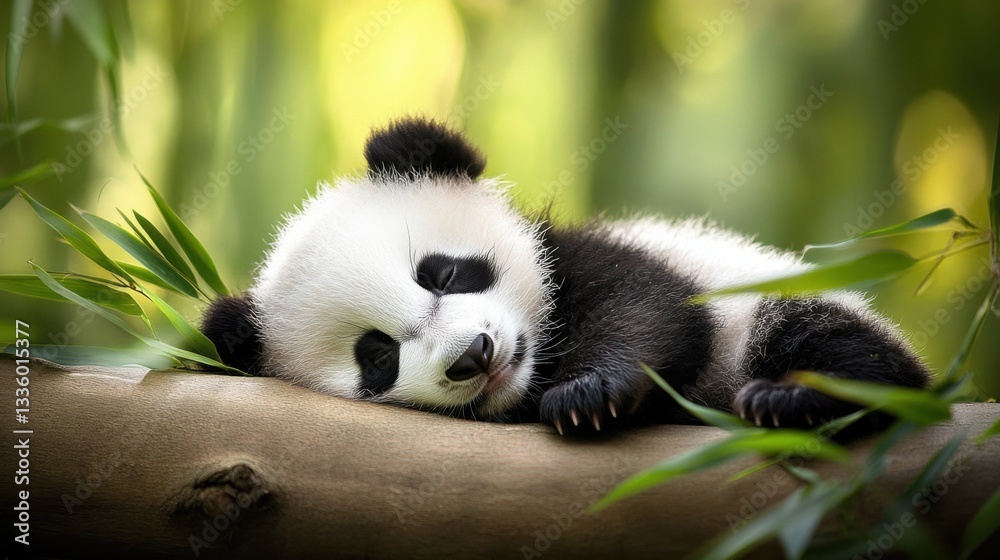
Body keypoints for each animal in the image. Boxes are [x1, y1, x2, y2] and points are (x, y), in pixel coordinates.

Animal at [201, 117, 930, 435]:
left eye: (442, 274)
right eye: (376, 357)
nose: (474, 356)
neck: (534, 371)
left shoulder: (593, 253)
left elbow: (648, 309)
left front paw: (588, 393)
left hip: (771, 302)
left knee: (832, 342)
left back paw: (794, 399)